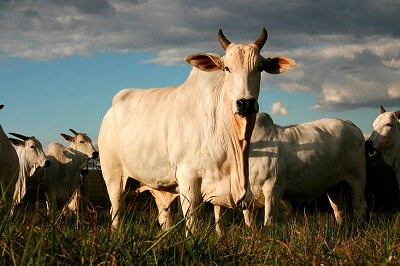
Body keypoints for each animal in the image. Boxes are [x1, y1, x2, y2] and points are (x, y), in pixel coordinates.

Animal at [98, 27, 296, 231]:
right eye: (227, 68)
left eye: (259, 68)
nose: (245, 103)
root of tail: (111, 110)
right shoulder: (188, 179)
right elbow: (192, 223)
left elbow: (221, 224)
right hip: (113, 177)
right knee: (116, 211)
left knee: (164, 215)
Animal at [230, 112, 368, 229]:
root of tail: (348, 123)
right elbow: (249, 221)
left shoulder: (273, 188)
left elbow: (269, 220)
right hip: (335, 185)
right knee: (338, 208)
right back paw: (340, 226)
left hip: (358, 177)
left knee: (359, 205)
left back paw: (358, 227)